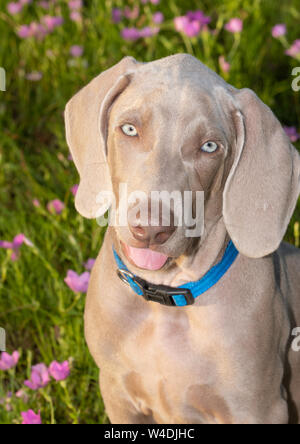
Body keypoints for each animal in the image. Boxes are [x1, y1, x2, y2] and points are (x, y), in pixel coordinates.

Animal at [65, 53, 300, 424]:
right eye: (129, 129)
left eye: (209, 147)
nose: (150, 229)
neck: (165, 302)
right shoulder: (117, 393)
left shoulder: (258, 407)